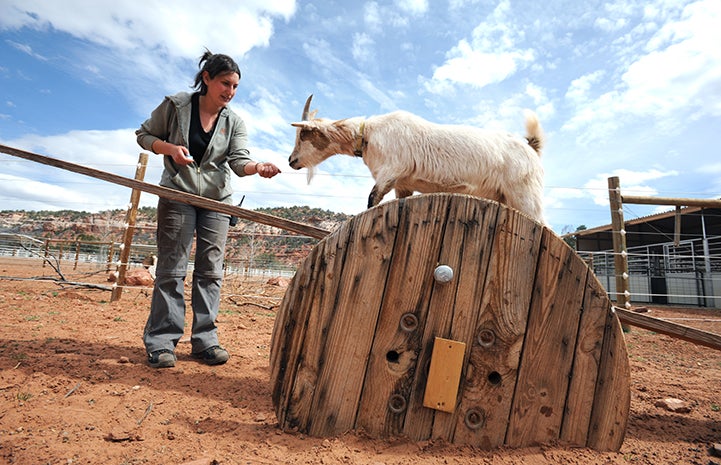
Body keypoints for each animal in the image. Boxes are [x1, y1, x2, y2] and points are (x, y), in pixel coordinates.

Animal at [288, 95, 545, 223]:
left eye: (302, 134)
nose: (291, 160)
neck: (368, 134)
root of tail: (531, 148)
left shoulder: (390, 172)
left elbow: (372, 201)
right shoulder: (402, 185)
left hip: (525, 194)